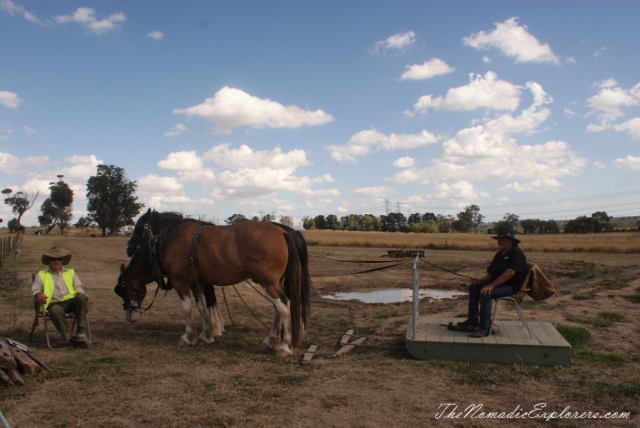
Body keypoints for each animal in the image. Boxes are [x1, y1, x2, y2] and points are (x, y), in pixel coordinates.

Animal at [119, 212, 312, 356]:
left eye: (139, 227)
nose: (129, 247)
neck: (169, 240)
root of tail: (284, 232)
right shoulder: (196, 282)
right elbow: (202, 306)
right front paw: (206, 335)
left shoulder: (180, 282)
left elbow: (188, 309)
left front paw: (188, 336)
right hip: (274, 283)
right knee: (278, 309)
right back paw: (271, 341)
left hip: (269, 283)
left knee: (284, 305)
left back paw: (285, 346)